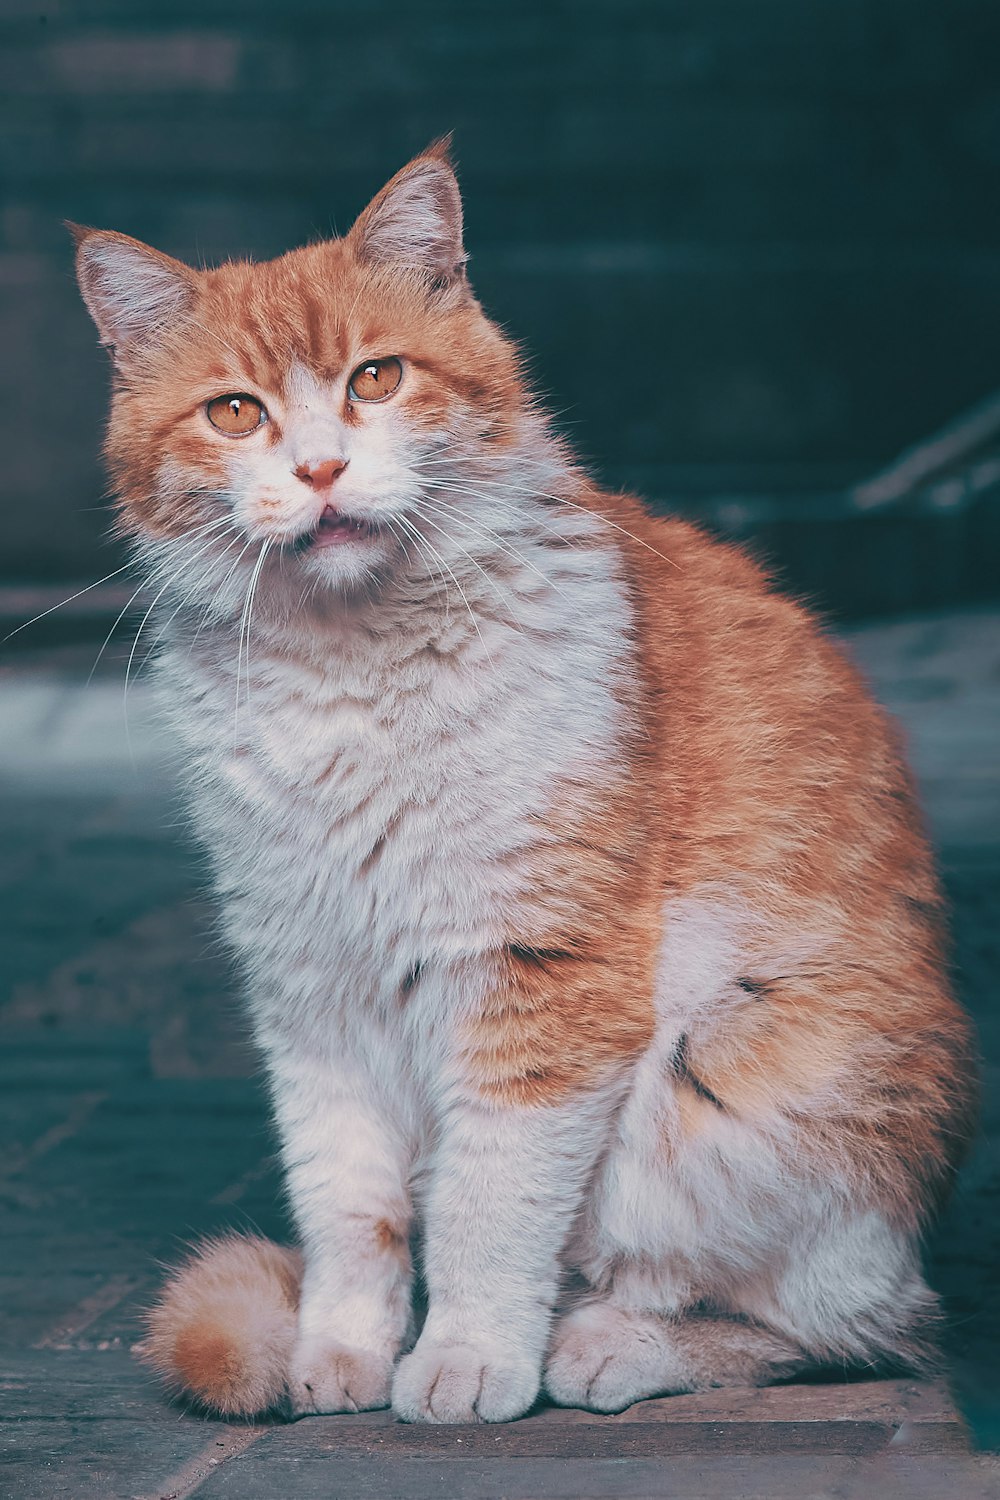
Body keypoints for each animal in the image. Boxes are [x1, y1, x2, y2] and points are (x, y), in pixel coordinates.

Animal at [72, 143, 977, 1428]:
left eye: (378, 379)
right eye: (235, 411)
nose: (320, 468)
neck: (345, 667)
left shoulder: (537, 976)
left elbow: (486, 1206)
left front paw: (467, 1358)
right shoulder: (309, 989)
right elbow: (349, 1206)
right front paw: (342, 1347)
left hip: (730, 1081)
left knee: (843, 1326)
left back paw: (608, 1344)